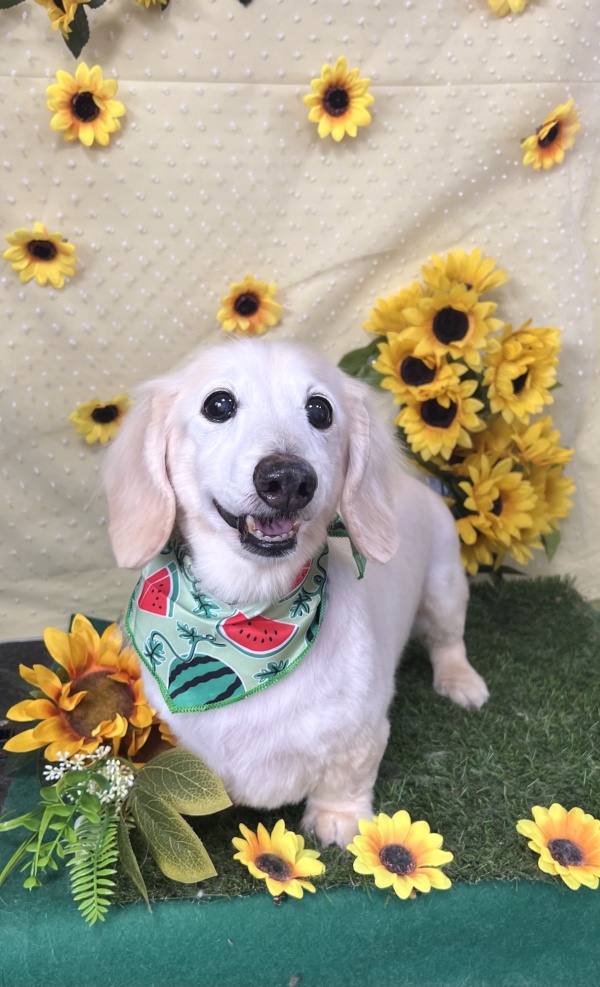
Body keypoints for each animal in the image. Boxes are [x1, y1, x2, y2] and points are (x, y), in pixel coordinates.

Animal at [102, 338, 488, 847]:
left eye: (320, 410)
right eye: (218, 404)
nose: (288, 479)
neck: (249, 608)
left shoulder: (363, 730)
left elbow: (348, 775)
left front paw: (337, 819)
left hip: (445, 584)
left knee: (449, 641)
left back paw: (461, 682)